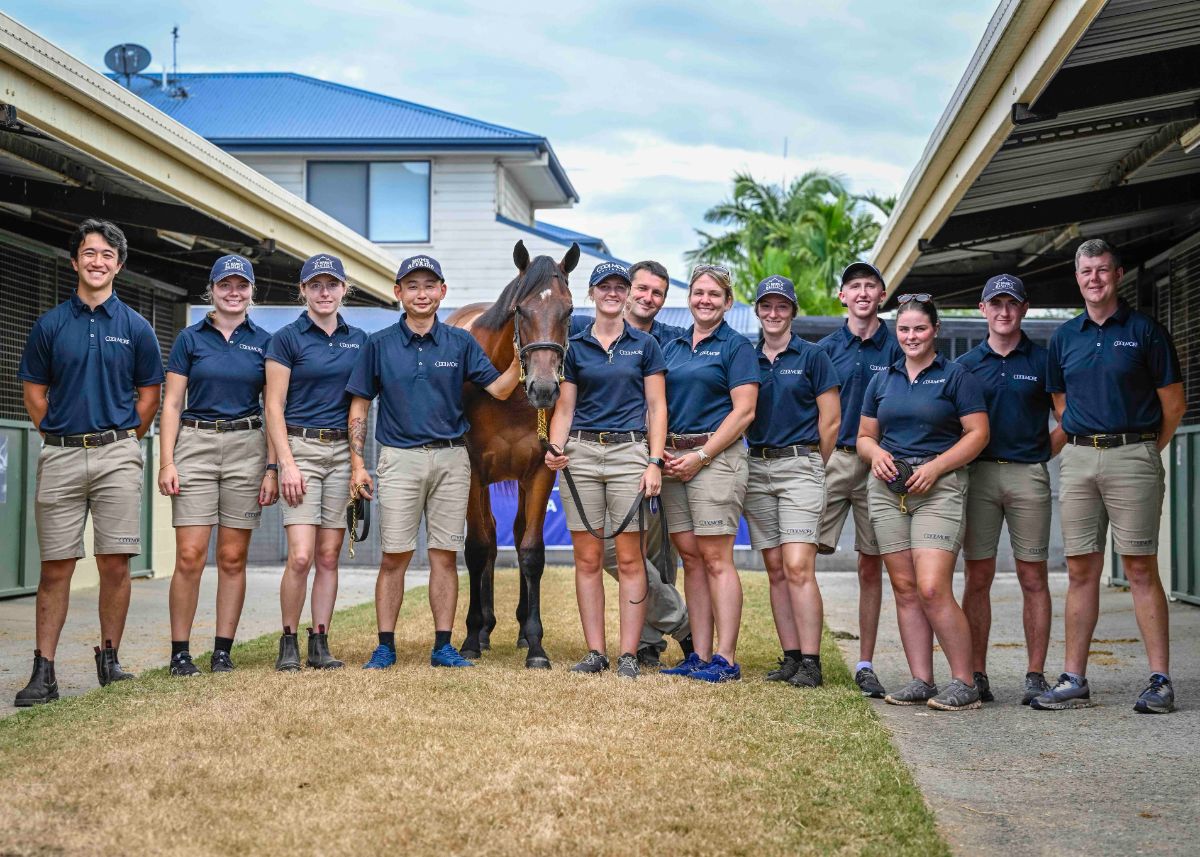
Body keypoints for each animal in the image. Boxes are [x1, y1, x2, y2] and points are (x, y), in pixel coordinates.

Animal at [446, 239, 578, 669]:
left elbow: (531, 551)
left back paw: (519, 630)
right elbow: (477, 549)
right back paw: (485, 629)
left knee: (517, 534)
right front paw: (471, 637)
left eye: (569, 311)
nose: (544, 388)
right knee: (487, 538)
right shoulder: (472, 471)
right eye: (520, 310)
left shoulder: (540, 470)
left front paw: (535, 644)